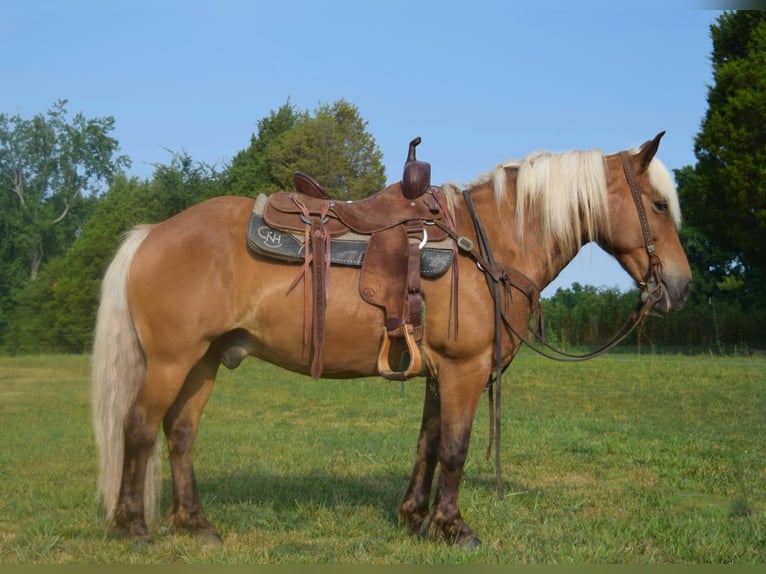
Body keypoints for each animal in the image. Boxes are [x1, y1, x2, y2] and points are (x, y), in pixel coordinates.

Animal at [93, 132, 692, 548]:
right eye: (659, 205)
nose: (681, 286)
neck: (490, 243)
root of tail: (153, 233)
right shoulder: (465, 369)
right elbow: (454, 449)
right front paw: (454, 528)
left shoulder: (438, 371)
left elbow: (427, 443)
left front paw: (414, 518)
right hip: (172, 360)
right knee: (139, 427)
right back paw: (133, 526)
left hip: (205, 360)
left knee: (181, 433)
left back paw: (196, 524)